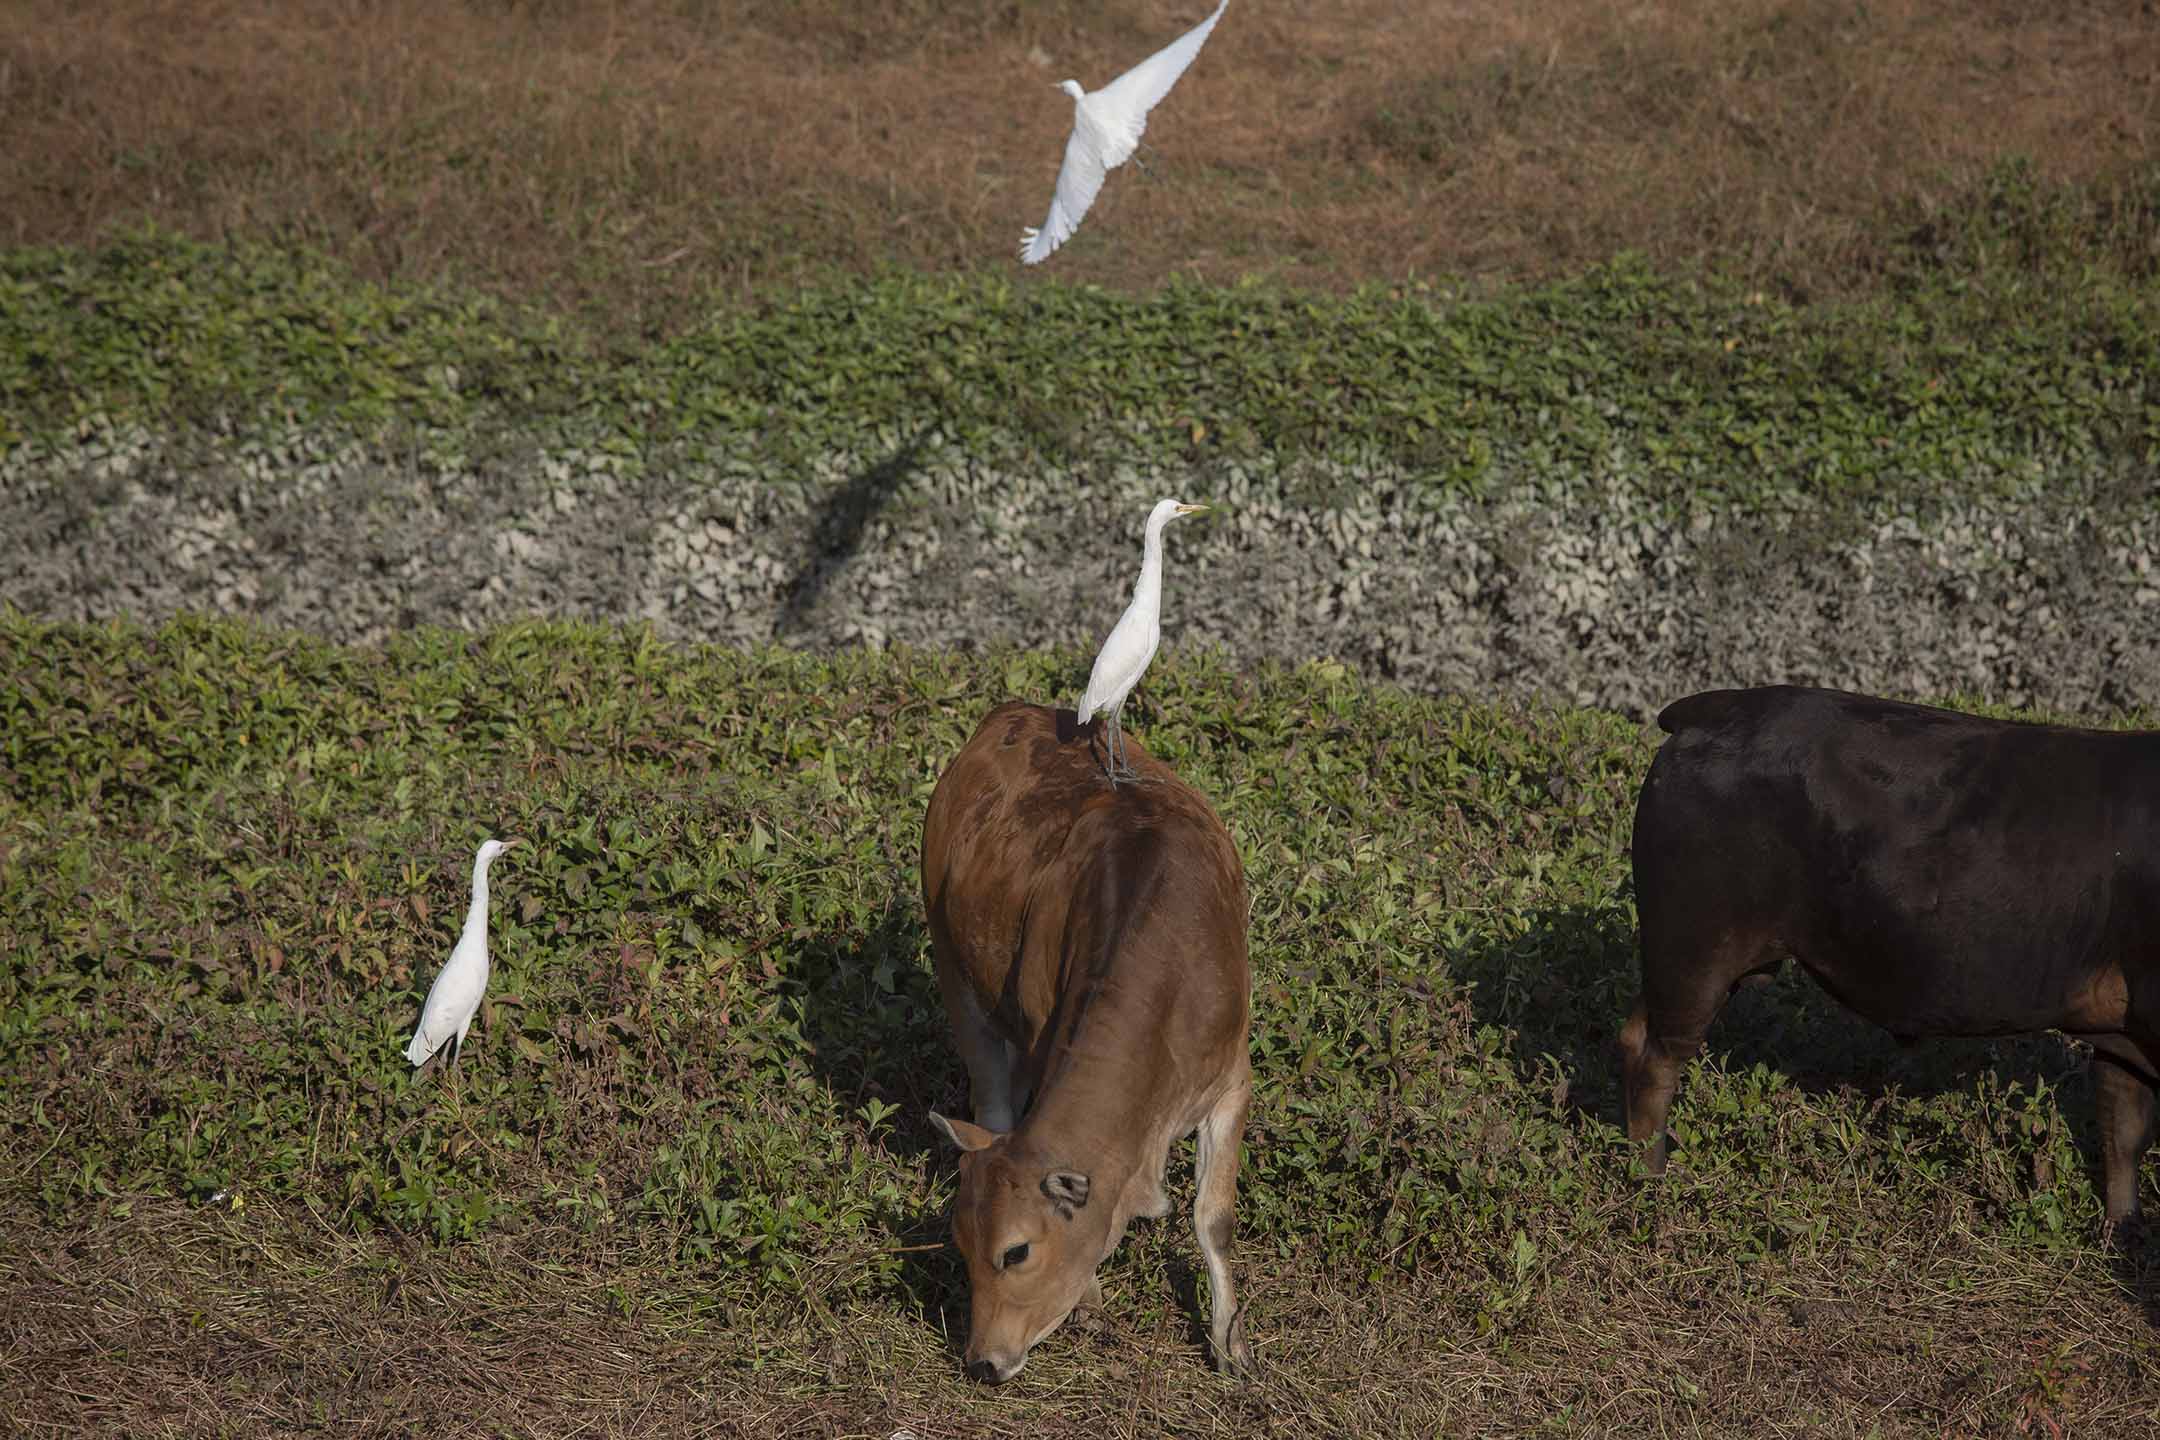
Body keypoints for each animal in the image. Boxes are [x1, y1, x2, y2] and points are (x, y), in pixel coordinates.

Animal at [924, 703, 1261, 1381]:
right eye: (959, 1244)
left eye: (1016, 1251)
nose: (981, 1361)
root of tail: (1012, 712)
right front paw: (1091, 1303)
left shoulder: (1232, 1081)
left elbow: (1213, 1219)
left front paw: (1231, 1346)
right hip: (953, 967)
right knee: (993, 1103)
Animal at [1624, 682, 2151, 1226]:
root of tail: (1710, 707)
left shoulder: (2122, 1028)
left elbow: (2123, 1129)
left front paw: (2123, 1226)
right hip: (1695, 949)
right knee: (1656, 1059)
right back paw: (1650, 1185)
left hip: (1691, 958)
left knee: (1635, 1032)